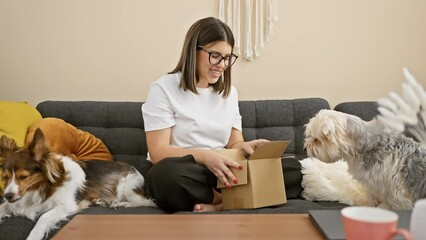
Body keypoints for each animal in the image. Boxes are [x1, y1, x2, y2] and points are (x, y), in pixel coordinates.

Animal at [0, 129, 156, 240]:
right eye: (5, 177)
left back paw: (119, 204)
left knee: (144, 202)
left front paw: (34, 236)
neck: (40, 188)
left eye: (23, 177)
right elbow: (3, 207)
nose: (7, 195)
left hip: (128, 187)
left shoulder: (68, 204)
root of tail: (134, 168)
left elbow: (44, 217)